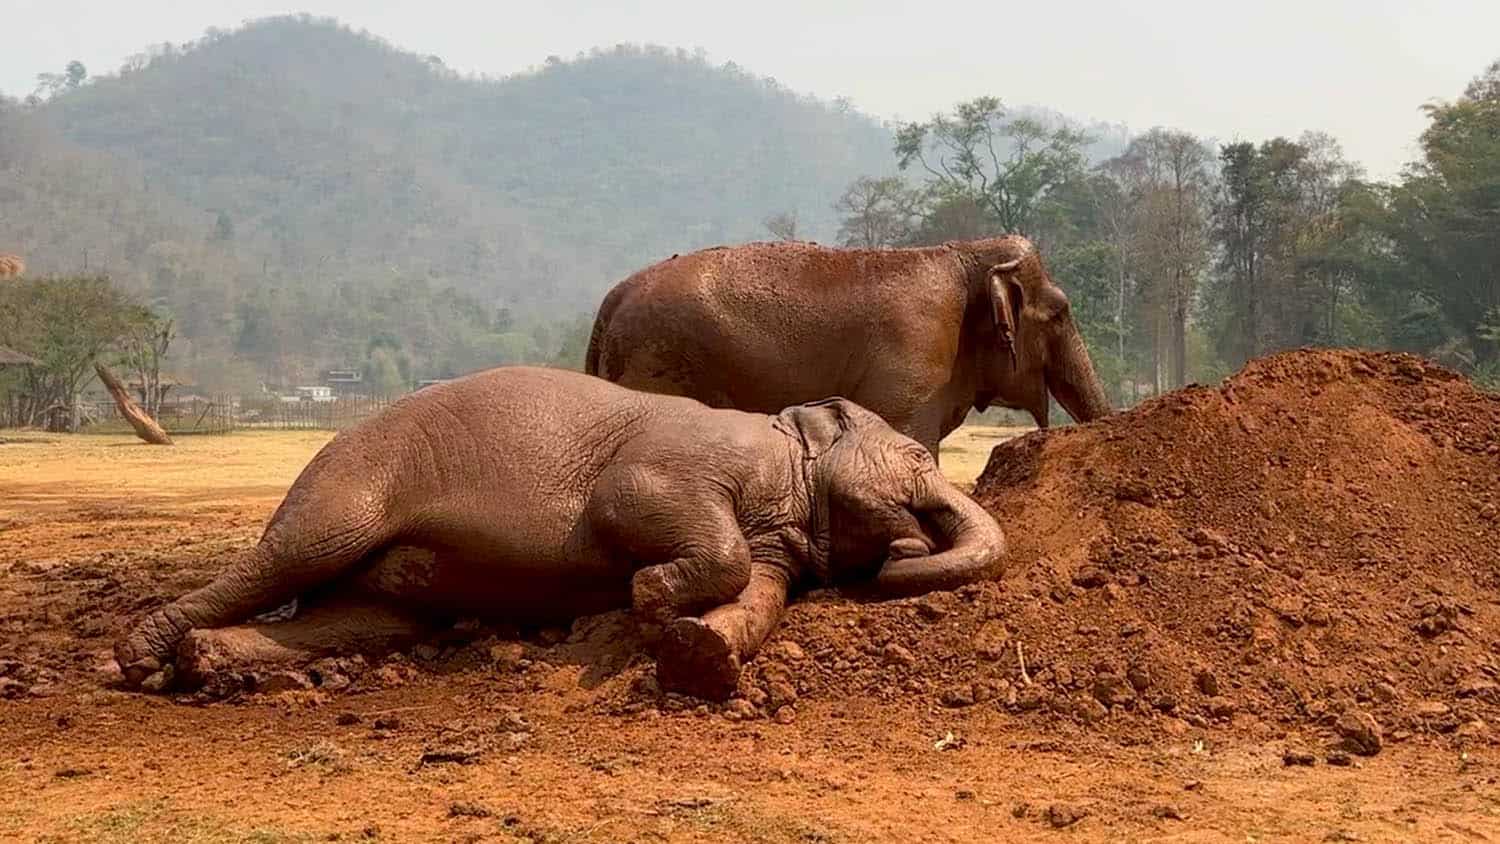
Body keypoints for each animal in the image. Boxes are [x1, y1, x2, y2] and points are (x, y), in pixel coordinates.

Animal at [113, 366, 1005, 701]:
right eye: (919, 455)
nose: (911, 541)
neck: (788, 456)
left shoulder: (782, 538)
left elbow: (760, 589)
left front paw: (697, 652)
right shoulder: (688, 459)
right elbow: (632, 501)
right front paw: (650, 600)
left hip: (384, 578)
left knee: (358, 619)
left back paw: (207, 665)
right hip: (352, 477)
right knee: (296, 554)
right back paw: (141, 656)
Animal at [585, 234, 1112, 459]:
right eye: (1061, 313)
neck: (964, 254)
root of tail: (610, 301)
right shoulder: (913, 355)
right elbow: (908, 440)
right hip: (658, 367)